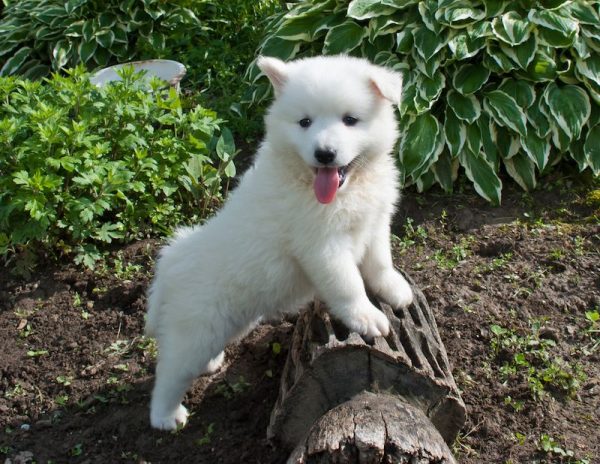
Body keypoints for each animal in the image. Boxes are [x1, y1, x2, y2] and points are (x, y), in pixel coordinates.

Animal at [148, 56, 414, 430]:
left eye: (350, 120)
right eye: (305, 122)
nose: (324, 153)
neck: (345, 190)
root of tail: (170, 265)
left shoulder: (374, 224)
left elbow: (379, 264)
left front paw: (396, 290)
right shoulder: (322, 248)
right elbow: (348, 285)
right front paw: (367, 317)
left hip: (229, 321)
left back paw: (210, 364)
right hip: (195, 329)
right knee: (169, 374)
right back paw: (166, 416)